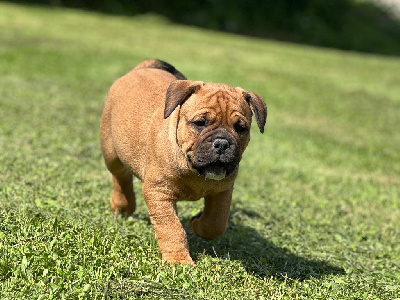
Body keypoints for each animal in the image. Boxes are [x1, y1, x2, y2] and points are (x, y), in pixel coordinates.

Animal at [101, 59, 268, 264]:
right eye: (200, 123)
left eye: (240, 128)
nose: (222, 143)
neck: (194, 170)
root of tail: (142, 67)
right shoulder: (158, 192)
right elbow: (171, 228)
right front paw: (178, 260)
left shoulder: (223, 190)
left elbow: (216, 223)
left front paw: (197, 224)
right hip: (110, 151)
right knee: (121, 176)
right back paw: (122, 205)